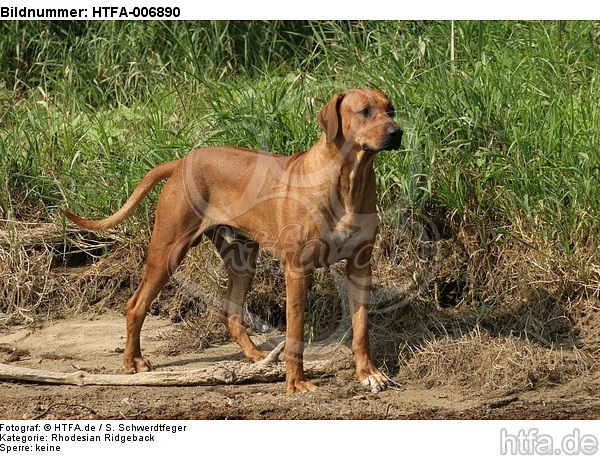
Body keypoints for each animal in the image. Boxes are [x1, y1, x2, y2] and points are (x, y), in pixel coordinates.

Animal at [62, 88, 404, 392]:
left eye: (390, 110)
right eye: (364, 112)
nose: (397, 132)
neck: (348, 180)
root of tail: (182, 161)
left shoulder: (360, 266)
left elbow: (361, 329)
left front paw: (368, 373)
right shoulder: (297, 269)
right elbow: (295, 330)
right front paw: (296, 383)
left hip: (242, 259)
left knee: (231, 312)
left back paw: (255, 355)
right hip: (168, 251)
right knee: (136, 305)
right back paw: (132, 361)